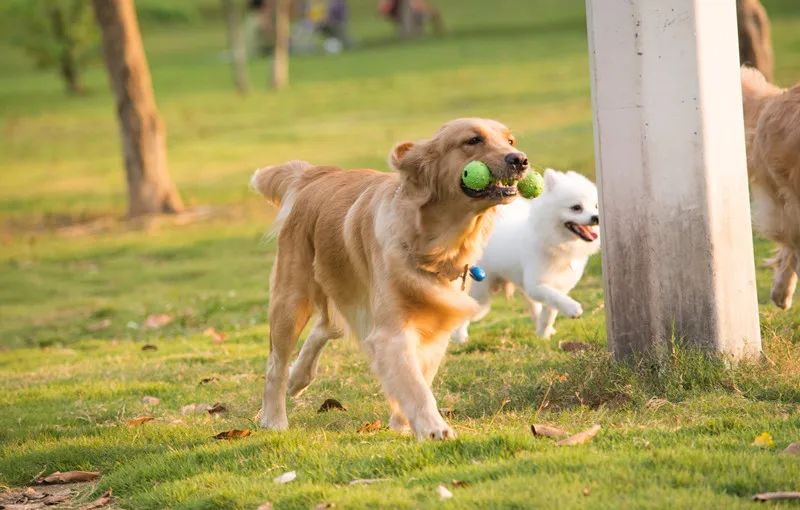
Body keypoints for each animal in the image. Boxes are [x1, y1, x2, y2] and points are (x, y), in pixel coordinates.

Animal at [253, 118, 528, 438]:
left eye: (510, 141)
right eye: (473, 140)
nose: (520, 159)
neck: (436, 246)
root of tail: (315, 175)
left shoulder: (437, 326)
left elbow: (419, 376)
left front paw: (403, 423)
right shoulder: (391, 331)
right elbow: (415, 385)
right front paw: (434, 428)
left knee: (327, 326)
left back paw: (300, 377)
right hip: (292, 299)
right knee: (276, 364)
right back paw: (274, 418)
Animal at [450, 168, 600, 342]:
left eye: (596, 206)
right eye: (576, 207)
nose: (596, 218)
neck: (558, 243)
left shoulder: (560, 286)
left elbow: (550, 310)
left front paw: (544, 333)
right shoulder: (535, 285)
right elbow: (553, 297)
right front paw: (572, 308)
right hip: (482, 294)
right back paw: (459, 336)